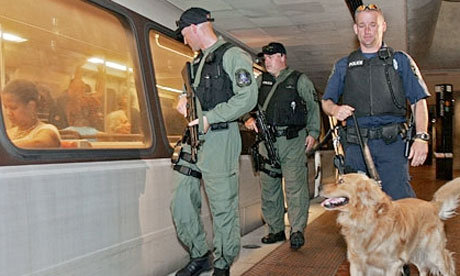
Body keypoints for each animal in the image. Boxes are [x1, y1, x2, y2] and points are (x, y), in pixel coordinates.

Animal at [320, 174, 460, 274]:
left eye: (341, 181)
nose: (319, 187)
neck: (364, 221)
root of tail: (432, 205)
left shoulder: (392, 265)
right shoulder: (356, 265)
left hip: (434, 253)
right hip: (416, 253)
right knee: (423, 269)